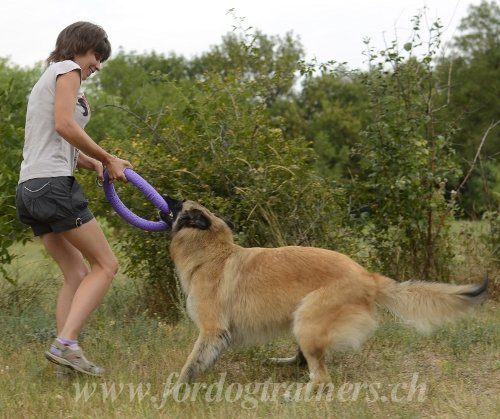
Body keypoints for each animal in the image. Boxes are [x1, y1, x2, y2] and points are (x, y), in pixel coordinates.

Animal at [160, 197, 488, 388]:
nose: (170, 198)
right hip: (300, 320)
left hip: (308, 318)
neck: (212, 253)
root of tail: (368, 277)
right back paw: (283, 365)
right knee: (304, 361)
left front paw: (175, 389)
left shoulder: (211, 331)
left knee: (321, 378)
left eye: (178, 207)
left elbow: (190, 364)